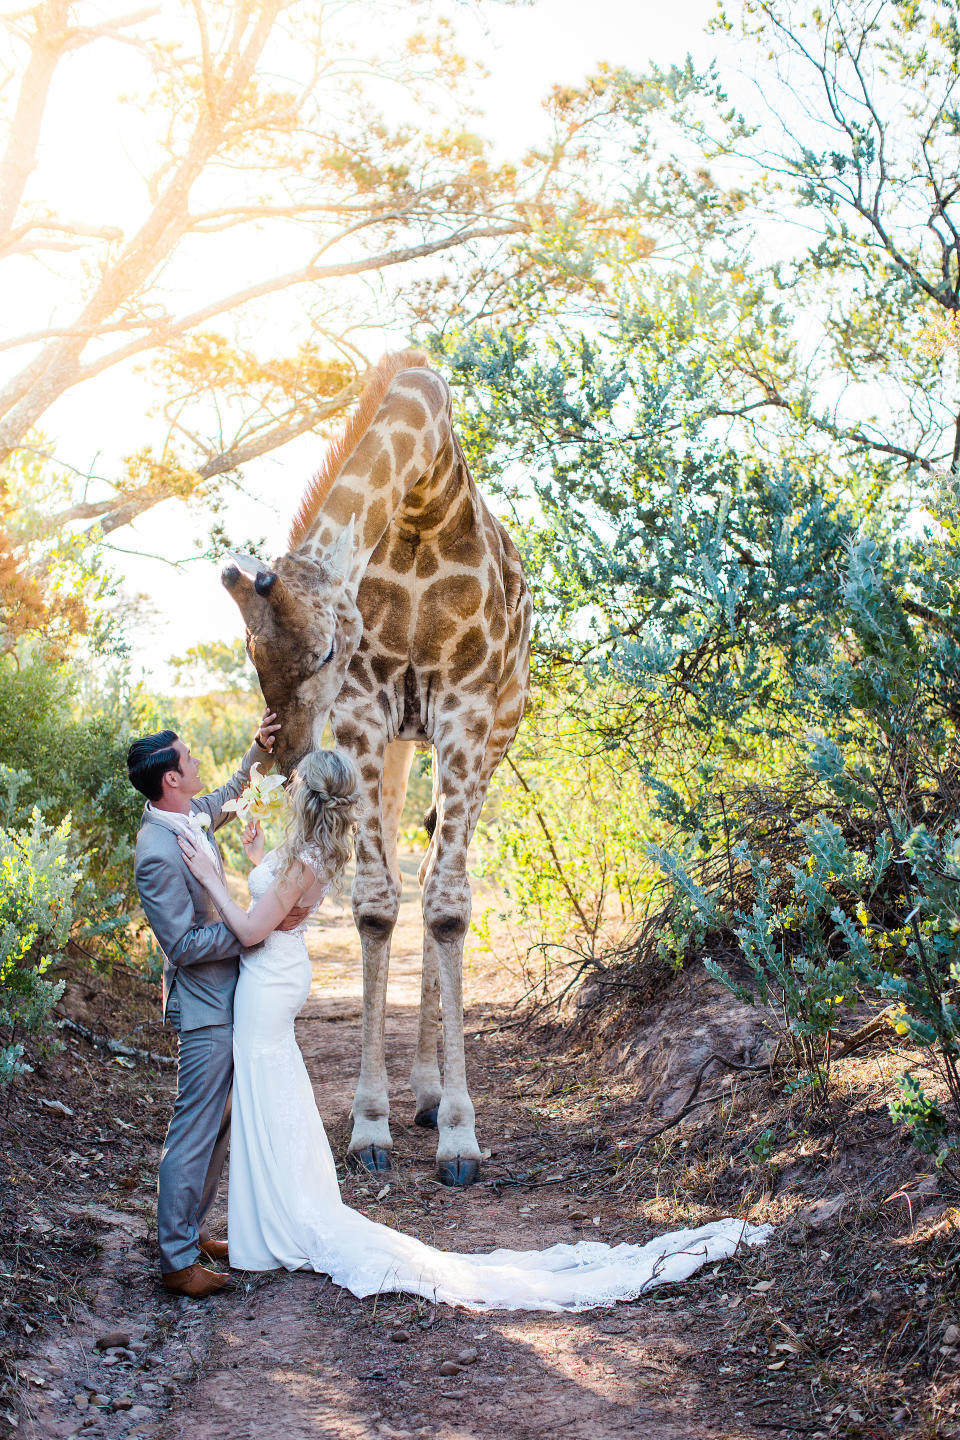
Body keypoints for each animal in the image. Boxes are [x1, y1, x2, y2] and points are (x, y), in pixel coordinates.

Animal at [220, 348, 532, 1180]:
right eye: (252, 655)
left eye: (327, 649)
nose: (283, 748)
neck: (424, 504)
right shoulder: (365, 714)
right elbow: (375, 904)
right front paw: (369, 1125)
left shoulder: (464, 709)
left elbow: (449, 904)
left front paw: (460, 1133)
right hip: (397, 747)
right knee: (404, 867)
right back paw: (414, 1093)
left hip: (494, 733)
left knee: (438, 876)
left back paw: (432, 1094)